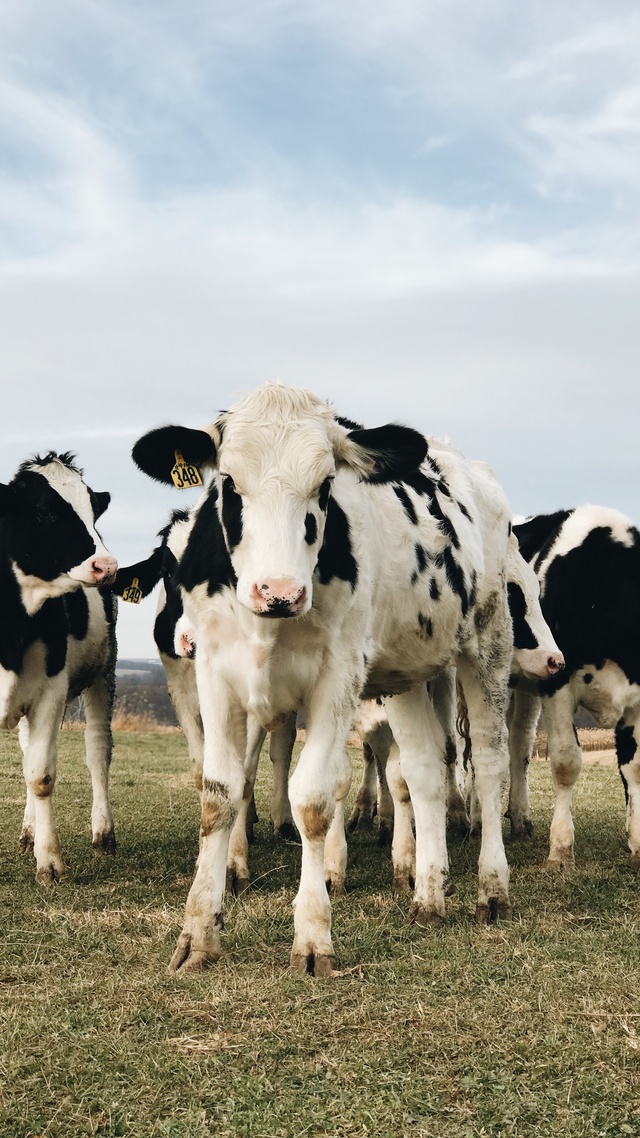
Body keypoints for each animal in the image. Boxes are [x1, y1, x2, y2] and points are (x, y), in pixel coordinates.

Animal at [0, 450, 118, 878]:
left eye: (93, 510)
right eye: (45, 512)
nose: (106, 565)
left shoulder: (51, 690)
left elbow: (41, 776)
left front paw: (49, 861)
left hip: (104, 672)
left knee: (97, 750)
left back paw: (103, 834)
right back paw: (28, 832)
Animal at [133, 382, 519, 978]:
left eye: (325, 485)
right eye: (228, 482)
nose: (279, 591)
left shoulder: (337, 679)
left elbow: (313, 799)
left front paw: (313, 936)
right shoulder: (215, 674)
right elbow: (218, 794)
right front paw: (198, 934)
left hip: (487, 644)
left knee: (490, 763)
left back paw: (492, 889)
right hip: (407, 670)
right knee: (425, 771)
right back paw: (428, 896)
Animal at [507, 502, 640, 864]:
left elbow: (633, 766)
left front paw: (637, 843)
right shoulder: (558, 685)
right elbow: (566, 762)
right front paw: (561, 848)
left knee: (519, 744)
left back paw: (519, 819)